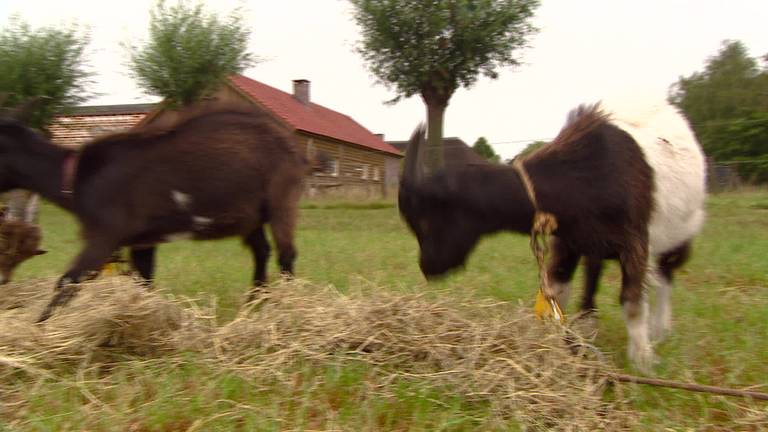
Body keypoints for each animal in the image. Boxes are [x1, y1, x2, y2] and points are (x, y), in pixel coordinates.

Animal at [3, 108, 308, 322]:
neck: (77, 179)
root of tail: (290, 142)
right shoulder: (142, 240)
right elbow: (144, 280)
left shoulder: (104, 235)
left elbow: (68, 280)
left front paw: (38, 332)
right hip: (250, 214)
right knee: (261, 250)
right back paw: (255, 304)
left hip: (282, 196)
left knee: (286, 254)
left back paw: (286, 308)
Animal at [400, 101, 704, 372]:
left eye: (425, 221)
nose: (427, 267)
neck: (583, 174)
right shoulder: (568, 241)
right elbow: (555, 291)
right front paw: (550, 343)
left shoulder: (634, 241)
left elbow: (631, 301)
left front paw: (643, 360)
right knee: (595, 270)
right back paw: (589, 321)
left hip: (677, 234)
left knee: (665, 275)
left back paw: (660, 329)